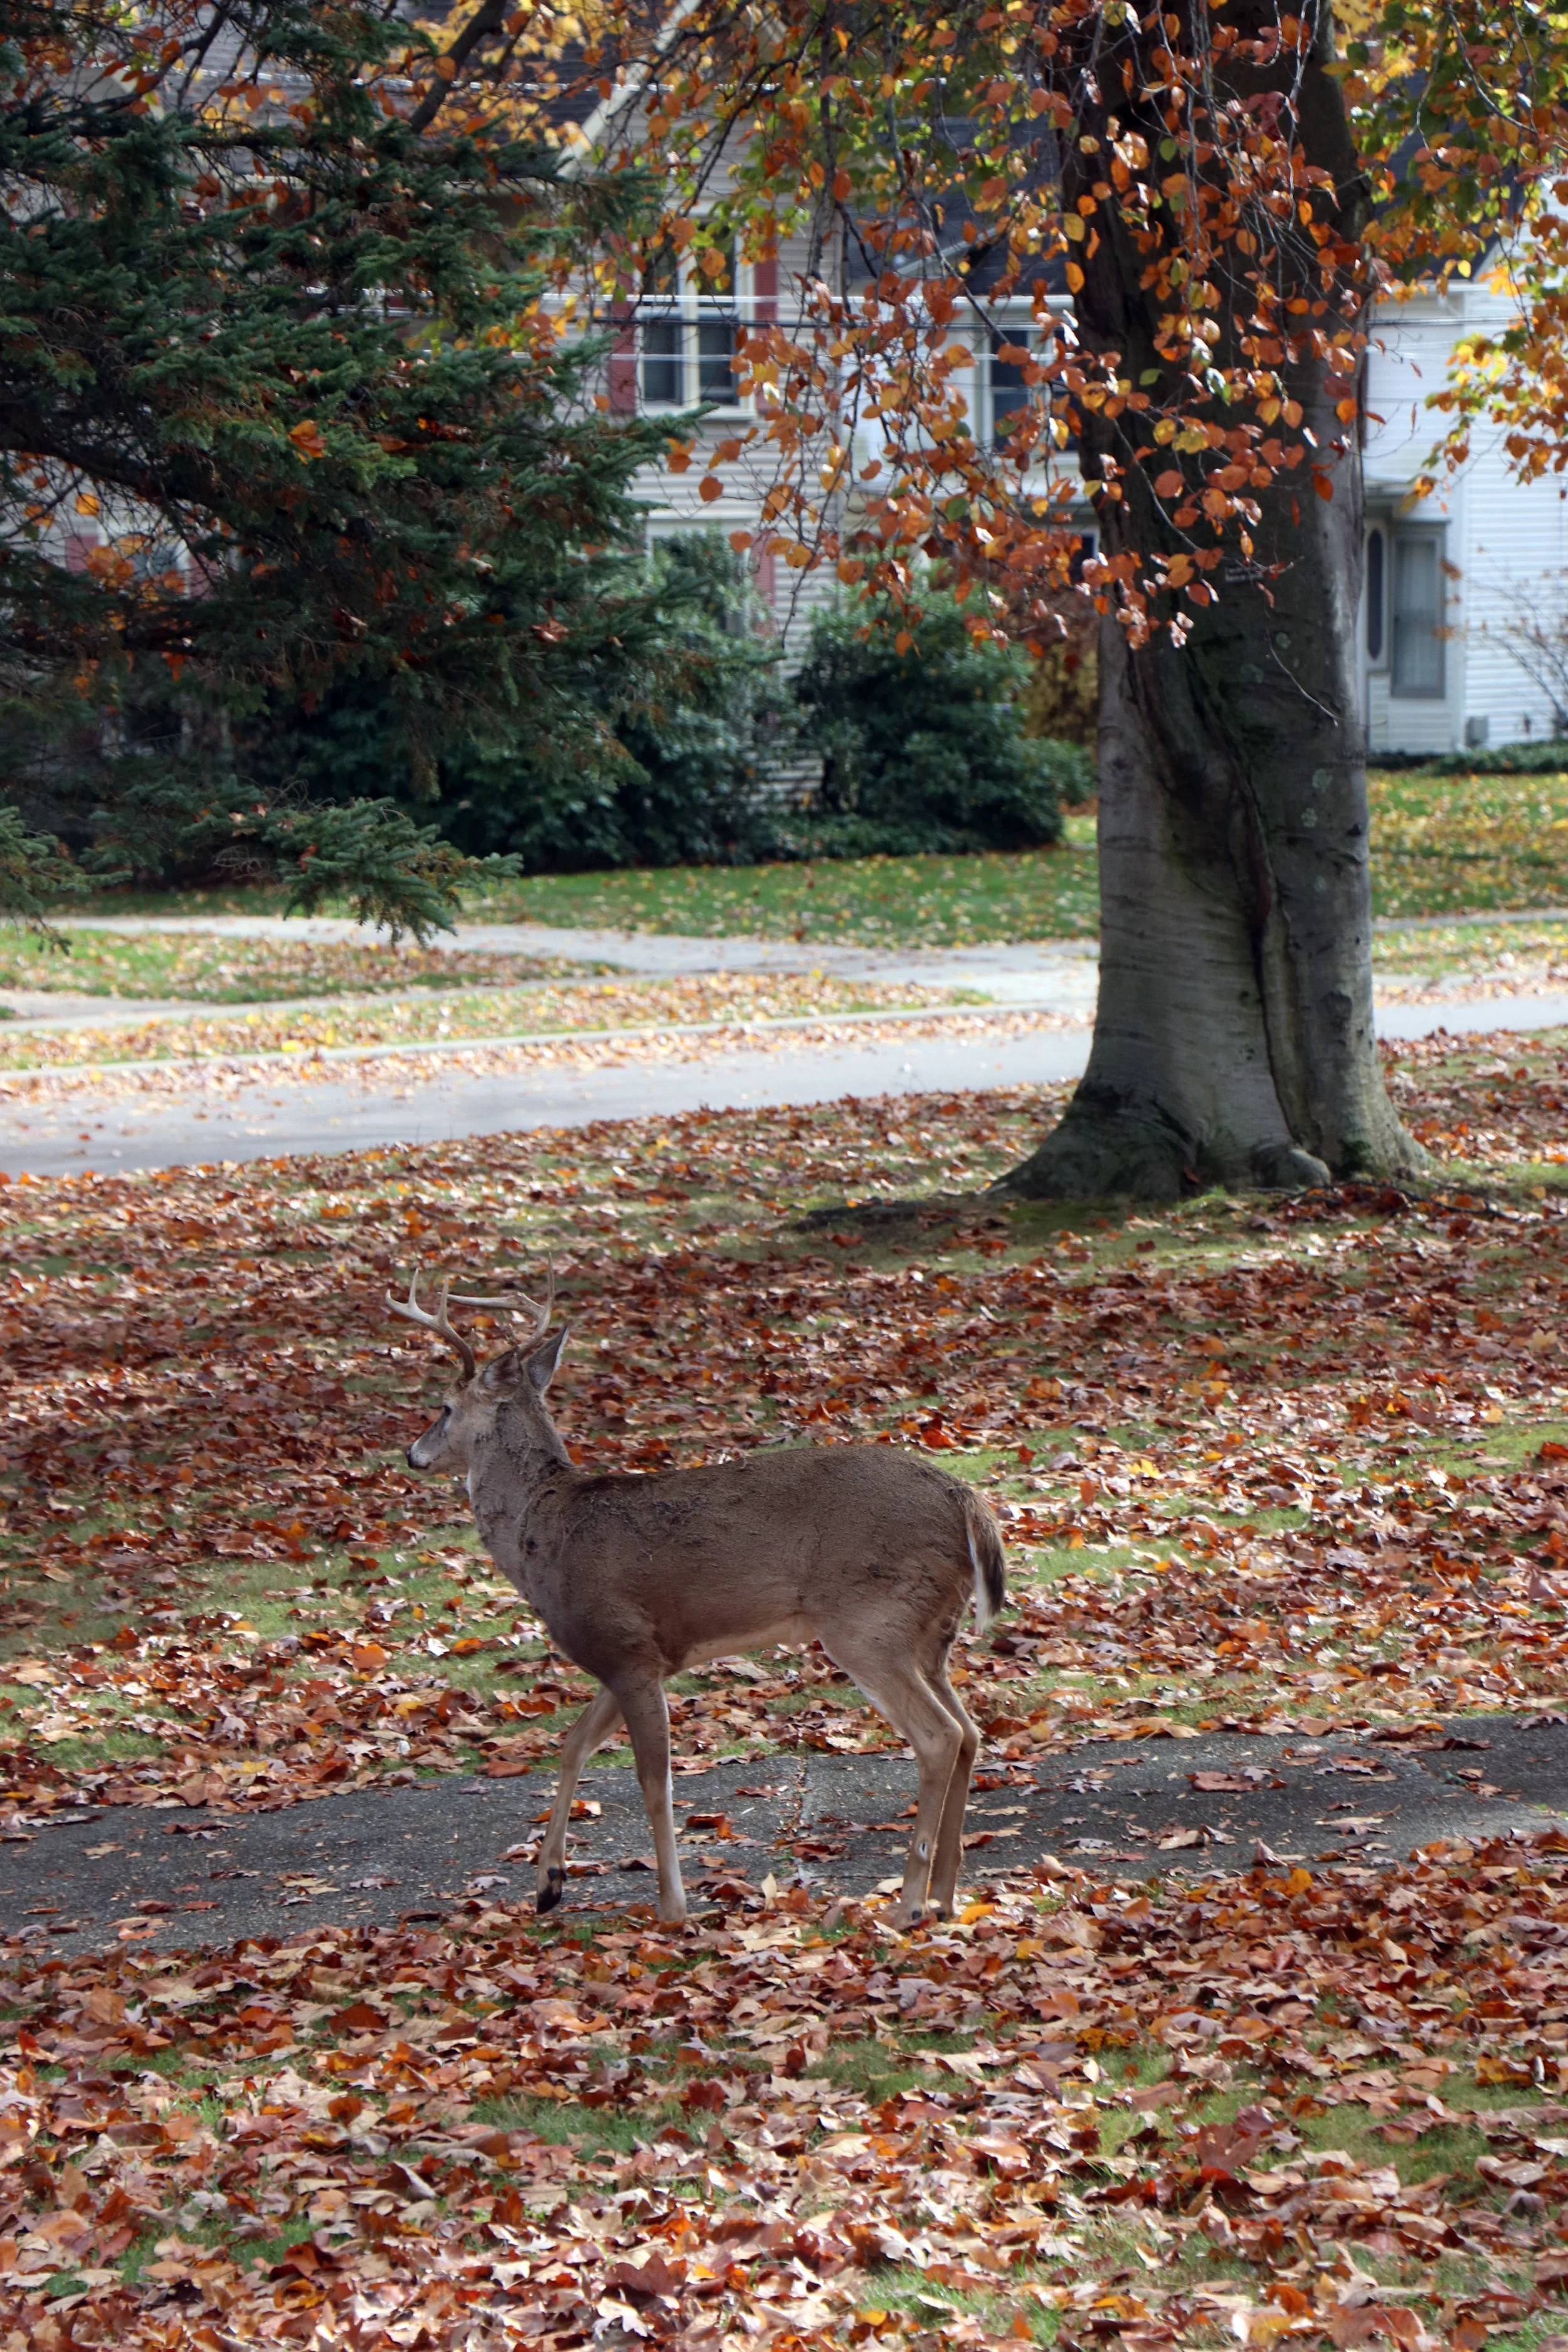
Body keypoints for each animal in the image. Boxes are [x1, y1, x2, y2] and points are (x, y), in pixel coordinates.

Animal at [388, 1269, 1006, 1930]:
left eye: (445, 1407)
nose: (413, 1454)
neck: (544, 1532)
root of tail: (968, 1502)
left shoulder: (625, 1648)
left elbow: (654, 1779)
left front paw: (672, 1906)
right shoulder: (637, 1657)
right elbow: (573, 1744)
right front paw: (548, 1884)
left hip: (869, 1623)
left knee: (939, 1737)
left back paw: (909, 1903)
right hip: (929, 1635)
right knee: (970, 1733)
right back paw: (945, 1896)